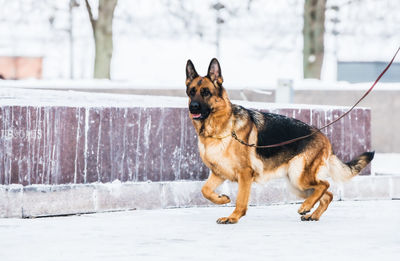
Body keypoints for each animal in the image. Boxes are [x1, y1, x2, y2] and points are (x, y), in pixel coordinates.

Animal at [186, 58, 374, 222]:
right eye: (191, 92)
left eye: (206, 93)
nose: (192, 107)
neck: (218, 129)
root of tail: (323, 136)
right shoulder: (219, 173)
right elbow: (205, 190)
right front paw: (222, 199)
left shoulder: (245, 174)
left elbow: (240, 200)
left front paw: (233, 218)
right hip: (297, 185)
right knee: (327, 194)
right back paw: (312, 214)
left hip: (298, 177)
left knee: (325, 185)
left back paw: (306, 207)